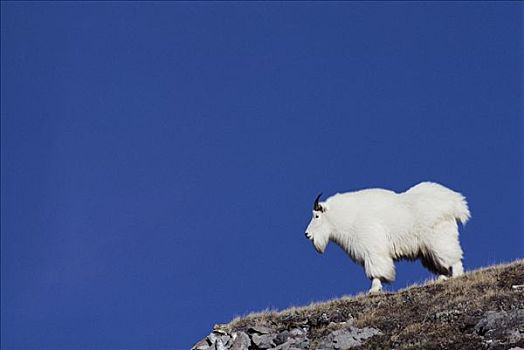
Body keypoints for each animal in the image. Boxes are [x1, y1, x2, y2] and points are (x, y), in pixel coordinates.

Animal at [302, 182, 470, 294]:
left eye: (316, 216)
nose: (307, 234)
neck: (348, 217)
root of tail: (454, 204)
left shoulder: (372, 249)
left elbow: (376, 271)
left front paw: (374, 289)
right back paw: (441, 278)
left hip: (439, 238)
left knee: (453, 258)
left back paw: (455, 275)